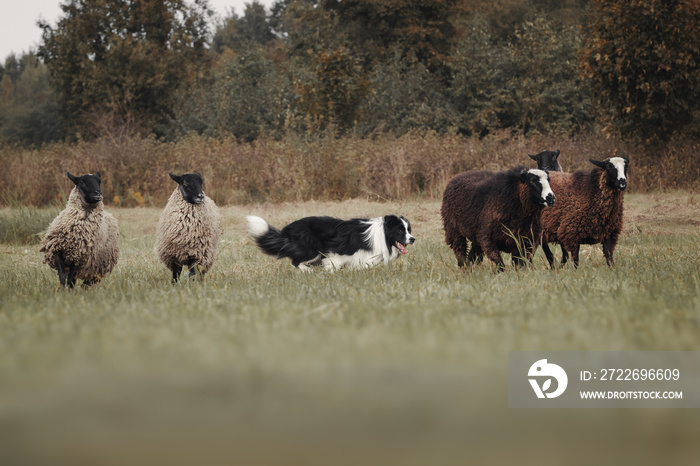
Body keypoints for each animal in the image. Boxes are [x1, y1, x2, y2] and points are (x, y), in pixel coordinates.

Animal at [247, 214, 416, 270]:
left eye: (409, 230)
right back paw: (307, 271)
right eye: (400, 231)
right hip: (311, 249)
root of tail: (286, 230)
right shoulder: (339, 252)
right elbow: (335, 263)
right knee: (296, 262)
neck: (382, 234)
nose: (413, 239)